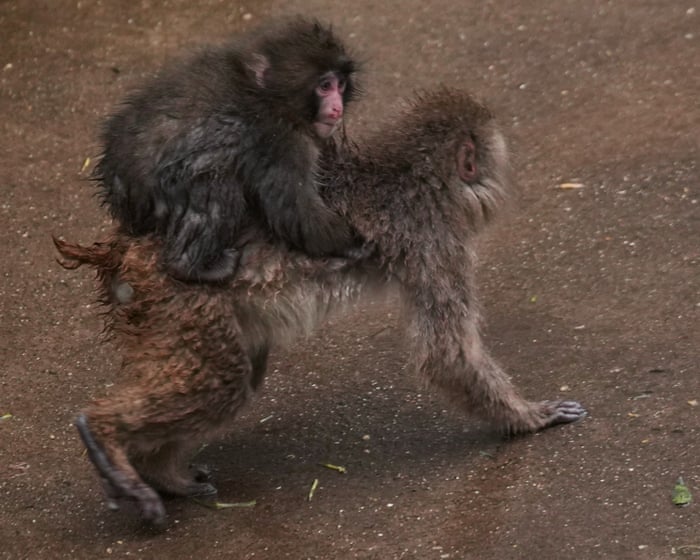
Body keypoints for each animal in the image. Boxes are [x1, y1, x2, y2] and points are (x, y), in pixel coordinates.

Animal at [55, 88, 586, 526]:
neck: (410, 177)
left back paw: (159, 470)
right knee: (223, 382)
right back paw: (106, 434)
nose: (500, 181)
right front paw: (528, 417)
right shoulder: (434, 241)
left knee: (239, 372)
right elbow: (447, 356)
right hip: (178, 300)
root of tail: (127, 247)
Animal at [95, 18, 361, 282]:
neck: (269, 96)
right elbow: (295, 210)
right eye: (325, 86)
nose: (337, 108)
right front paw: (352, 244)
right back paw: (190, 266)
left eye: (340, 85)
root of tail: (116, 180)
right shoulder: (281, 141)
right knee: (217, 186)